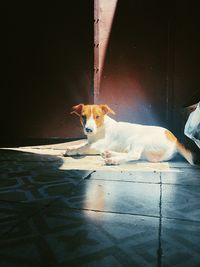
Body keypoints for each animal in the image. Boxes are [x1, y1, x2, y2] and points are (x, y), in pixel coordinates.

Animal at [63, 104, 195, 165]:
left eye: (97, 117)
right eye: (83, 117)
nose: (88, 129)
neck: (100, 129)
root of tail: (175, 139)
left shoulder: (98, 145)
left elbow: (84, 147)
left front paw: (72, 151)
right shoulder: (91, 141)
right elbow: (82, 143)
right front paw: (72, 146)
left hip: (139, 139)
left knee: (134, 155)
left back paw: (113, 160)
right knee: (135, 155)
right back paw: (110, 154)